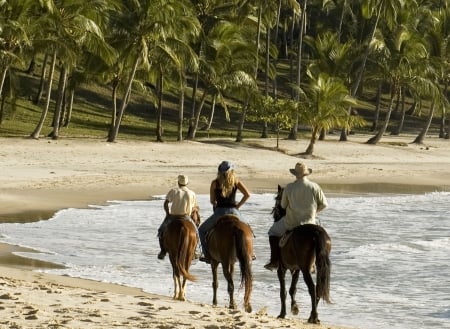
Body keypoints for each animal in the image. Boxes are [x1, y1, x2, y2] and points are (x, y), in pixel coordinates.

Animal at [272, 184, 332, 322]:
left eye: (277, 199)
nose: (274, 215)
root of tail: (316, 231)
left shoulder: (281, 268)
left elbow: (283, 291)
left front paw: (283, 313)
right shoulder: (296, 268)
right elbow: (292, 289)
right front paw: (294, 308)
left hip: (305, 268)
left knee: (312, 288)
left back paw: (314, 317)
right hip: (316, 266)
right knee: (319, 288)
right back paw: (312, 316)